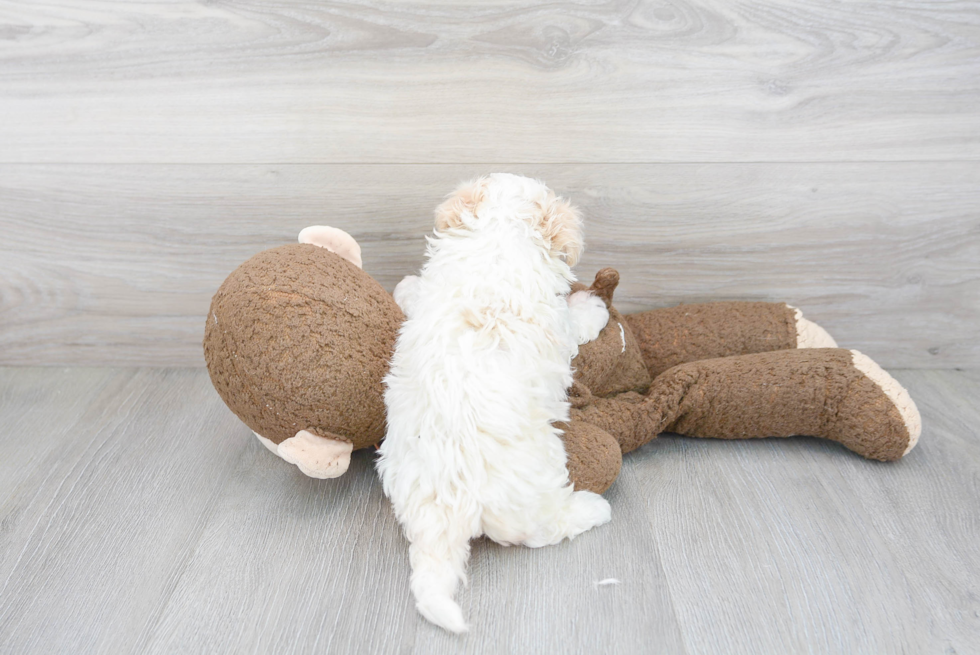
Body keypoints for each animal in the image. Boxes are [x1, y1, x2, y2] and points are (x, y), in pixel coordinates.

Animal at [378, 172, 612, 632]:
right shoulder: (559, 324)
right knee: (544, 530)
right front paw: (593, 307)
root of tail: (445, 506)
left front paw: (405, 288)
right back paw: (593, 509)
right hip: (536, 491)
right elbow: (578, 323)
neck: (497, 235)